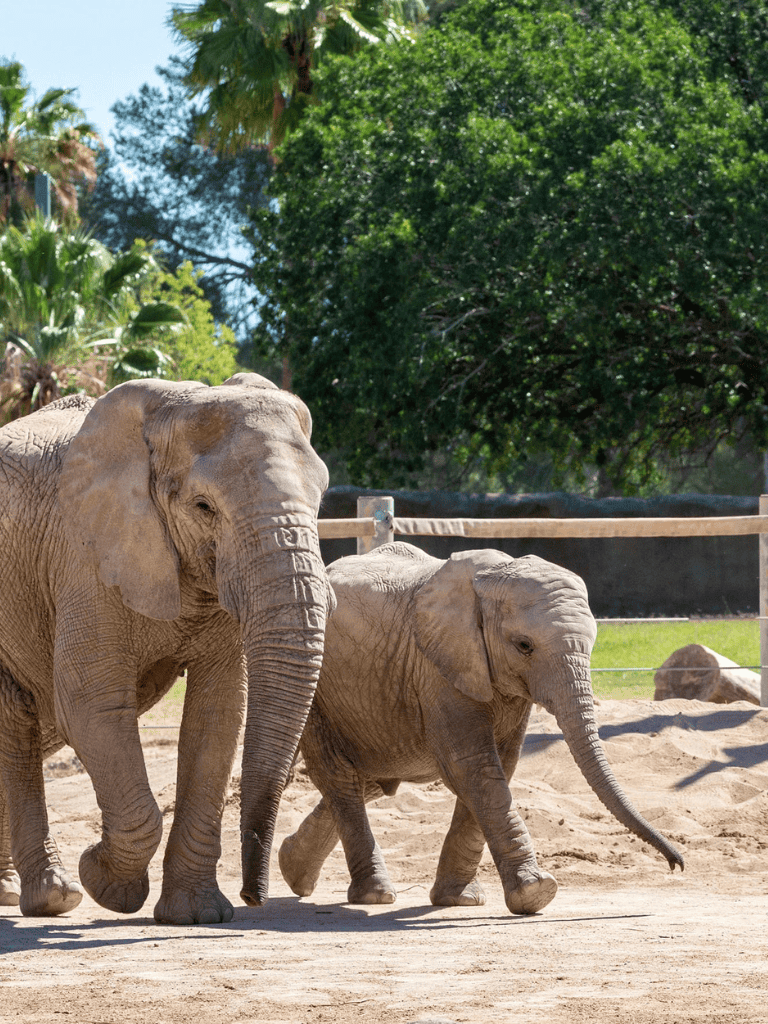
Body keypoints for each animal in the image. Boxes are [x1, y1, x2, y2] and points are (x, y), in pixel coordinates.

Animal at [0, 373, 333, 924]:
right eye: (203, 507)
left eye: (322, 497)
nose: (255, 896)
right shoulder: (83, 557)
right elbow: (91, 706)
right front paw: (104, 882)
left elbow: (217, 715)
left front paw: (197, 915)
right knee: (16, 725)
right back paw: (54, 897)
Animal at [279, 542, 683, 915]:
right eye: (524, 646)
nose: (676, 864)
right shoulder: (441, 669)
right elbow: (473, 766)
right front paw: (536, 893)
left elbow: (498, 766)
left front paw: (460, 901)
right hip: (316, 689)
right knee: (342, 778)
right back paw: (373, 895)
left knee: (373, 779)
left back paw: (293, 870)